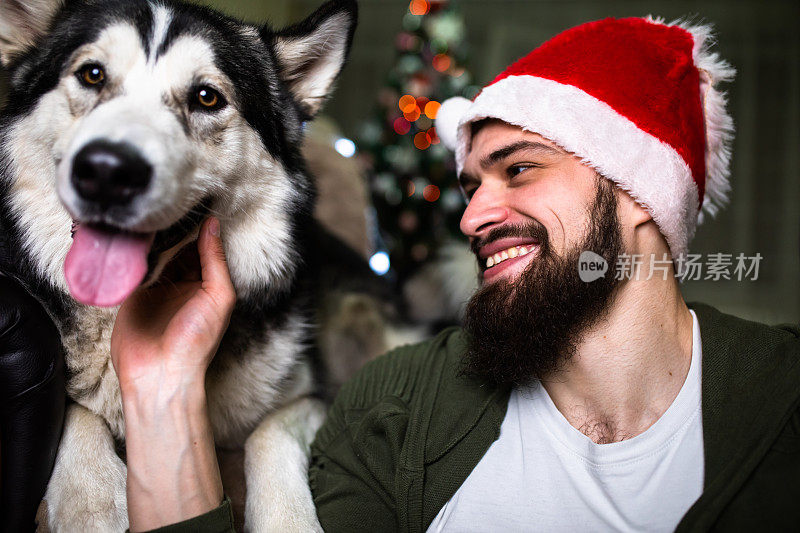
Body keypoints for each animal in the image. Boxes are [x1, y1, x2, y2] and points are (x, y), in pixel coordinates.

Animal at [0, 0, 378, 528]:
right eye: (92, 74)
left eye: (206, 97)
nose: (107, 171)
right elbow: (76, 412)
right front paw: (91, 500)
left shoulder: (314, 395)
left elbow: (271, 433)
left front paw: (287, 519)